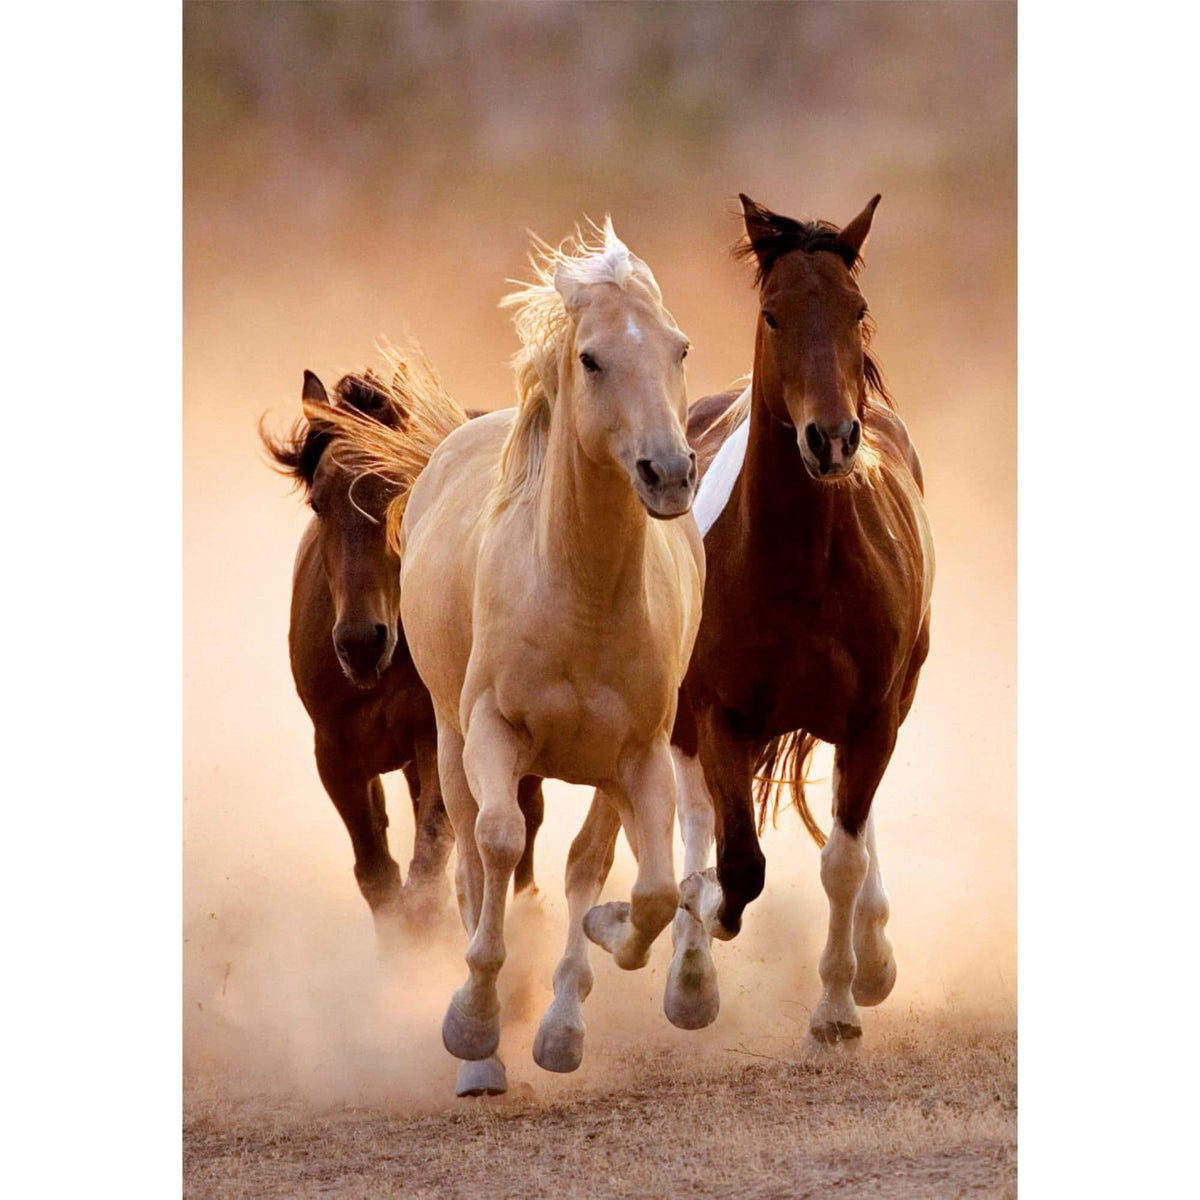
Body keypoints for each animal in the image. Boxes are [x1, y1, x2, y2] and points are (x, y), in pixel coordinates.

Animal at [260, 362, 545, 952]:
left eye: (401, 491)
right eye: (318, 503)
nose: (361, 643)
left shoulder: (437, 740)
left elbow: (428, 867)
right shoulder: (336, 755)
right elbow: (379, 876)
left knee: (526, 821)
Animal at [318, 221, 704, 1096]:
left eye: (679, 347)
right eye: (591, 358)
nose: (669, 474)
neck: (580, 596)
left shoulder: (639, 755)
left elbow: (647, 889)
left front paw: (597, 957)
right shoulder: (491, 733)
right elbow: (495, 846)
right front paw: (473, 1025)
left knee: (587, 862)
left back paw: (560, 1019)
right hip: (448, 744)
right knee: (470, 859)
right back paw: (484, 1053)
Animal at [664, 194, 935, 1045]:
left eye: (858, 310)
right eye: (774, 314)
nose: (833, 439)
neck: (804, 565)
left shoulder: (873, 716)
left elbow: (842, 857)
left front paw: (840, 1005)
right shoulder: (720, 714)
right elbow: (736, 863)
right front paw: (700, 925)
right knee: (694, 818)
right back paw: (688, 973)